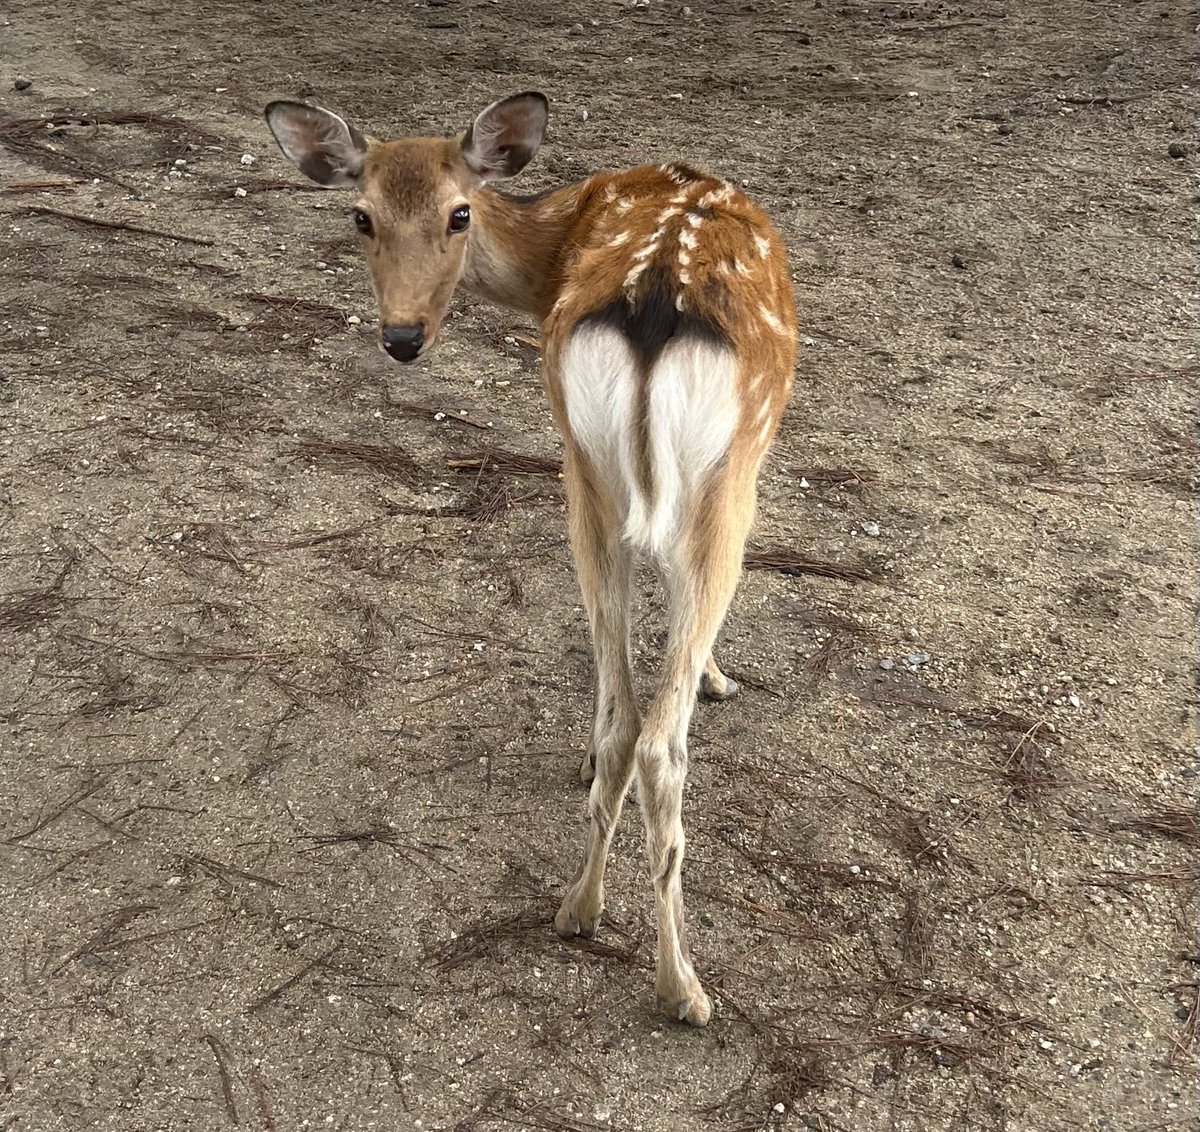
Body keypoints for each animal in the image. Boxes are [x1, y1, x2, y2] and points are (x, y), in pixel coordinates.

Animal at [264, 92, 796, 1026]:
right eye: (362, 216)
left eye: (458, 212)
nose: (401, 336)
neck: (555, 248)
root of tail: (652, 309)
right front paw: (717, 675)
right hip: (718, 486)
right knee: (659, 741)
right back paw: (682, 985)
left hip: (586, 474)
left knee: (625, 719)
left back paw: (577, 907)